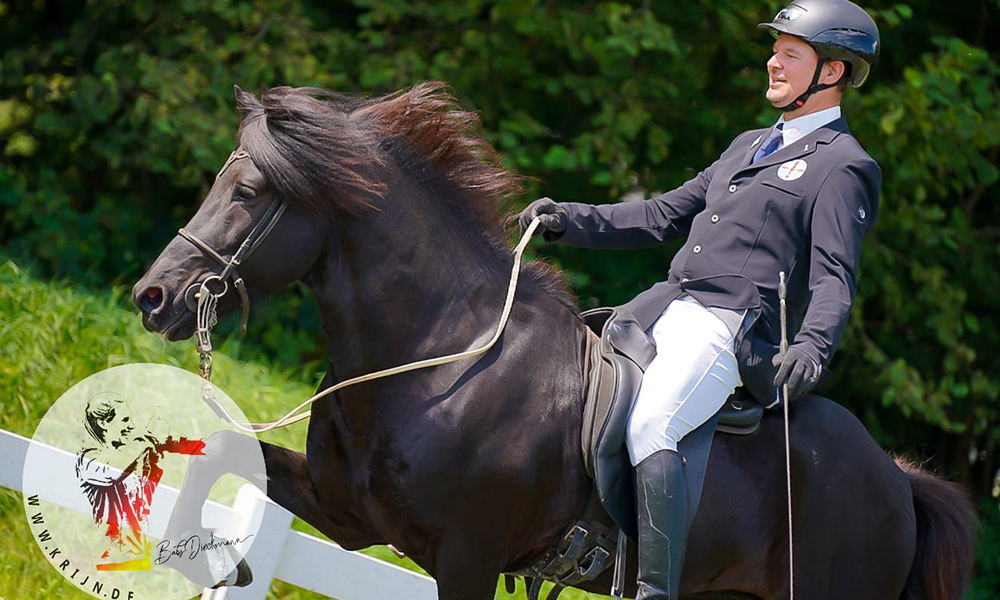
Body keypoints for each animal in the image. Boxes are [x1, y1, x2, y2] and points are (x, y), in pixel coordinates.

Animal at [133, 84, 976, 600]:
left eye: (248, 192)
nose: (153, 296)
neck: (442, 358)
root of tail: (897, 477)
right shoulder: (351, 516)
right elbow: (221, 453)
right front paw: (189, 552)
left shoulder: (467, 559)